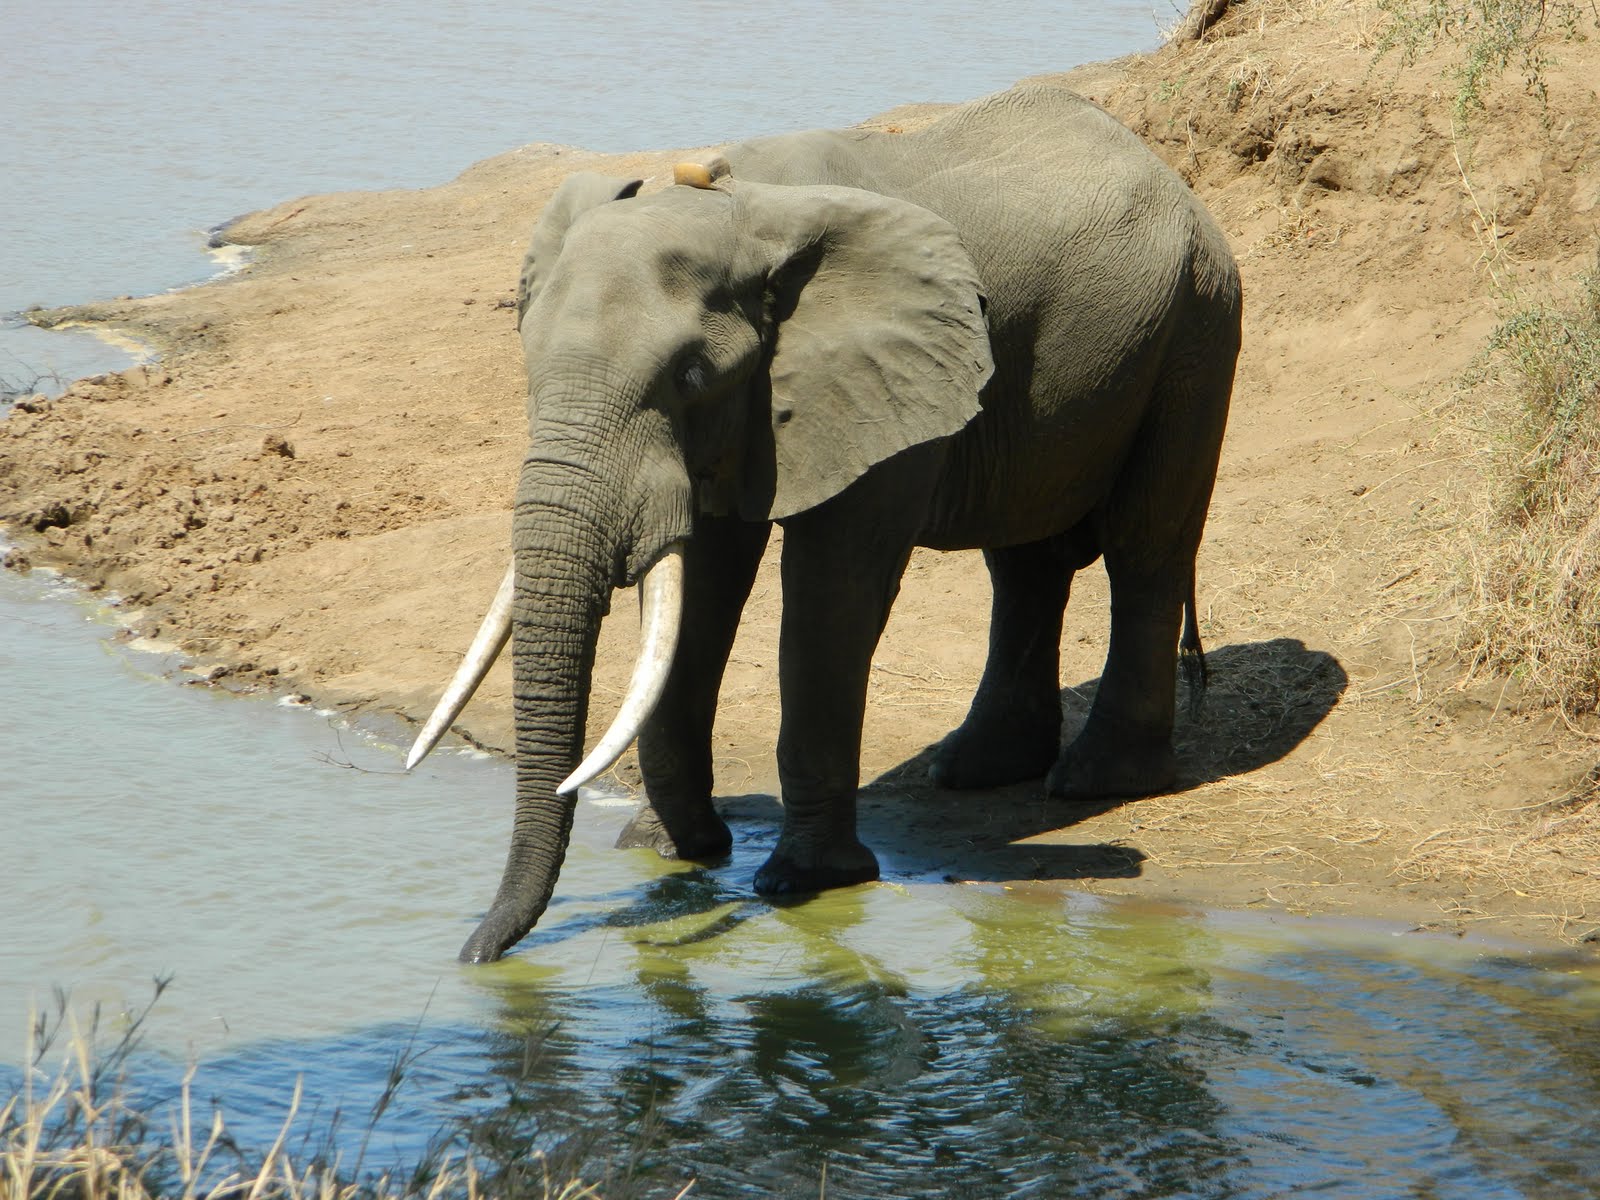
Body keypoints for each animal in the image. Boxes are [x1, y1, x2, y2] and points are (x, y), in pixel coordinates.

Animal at [408, 83, 1242, 963]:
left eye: (690, 375)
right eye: (528, 360)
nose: (476, 957)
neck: (735, 209)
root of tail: (1175, 179)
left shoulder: (879, 376)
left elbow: (831, 591)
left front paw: (802, 883)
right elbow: (705, 585)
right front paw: (675, 853)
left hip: (1197, 328)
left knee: (1144, 549)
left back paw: (1095, 782)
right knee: (1024, 563)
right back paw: (976, 769)